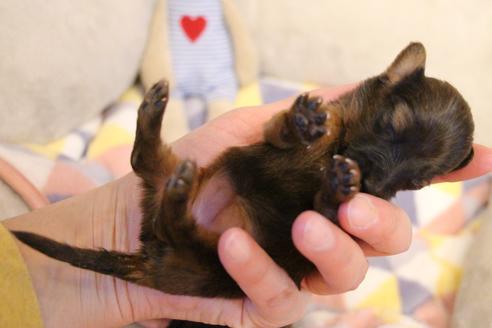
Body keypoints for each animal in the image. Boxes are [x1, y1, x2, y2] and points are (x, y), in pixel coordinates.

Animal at [10, 43, 472, 322]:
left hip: (206, 263)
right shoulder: (276, 135)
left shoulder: (327, 228)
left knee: (168, 206)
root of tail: (148, 255)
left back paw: (178, 191)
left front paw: (340, 184)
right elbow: (282, 129)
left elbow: (323, 210)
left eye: (417, 181)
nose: (372, 183)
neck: (336, 146)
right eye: (390, 125)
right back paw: (156, 113)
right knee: (144, 161)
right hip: (201, 177)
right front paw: (302, 122)